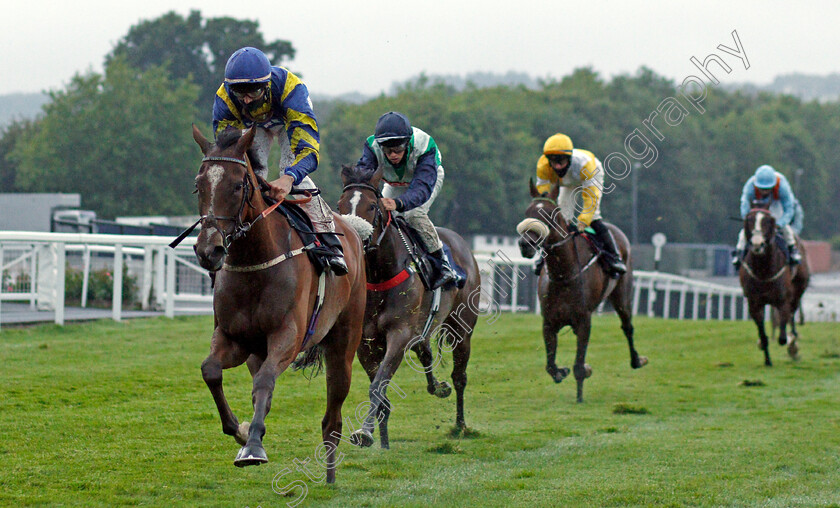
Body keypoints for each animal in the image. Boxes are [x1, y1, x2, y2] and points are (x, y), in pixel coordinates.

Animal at [191, 127, 368, 484]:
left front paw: (253, 447)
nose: (209, 250)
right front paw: (241, 431)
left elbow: (266, 380)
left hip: (343, 342)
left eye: (237, 184)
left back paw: (330, 475)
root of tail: (353, 231)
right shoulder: (234, 339)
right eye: (199, 184)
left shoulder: (288, 336)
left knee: (333, 416)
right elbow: (211, 370)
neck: (255, 262)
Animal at [334, 165, 480, 446]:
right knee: (425, 352)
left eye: (371, 206)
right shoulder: (366, 342)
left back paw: (460, 425)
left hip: (462, 329)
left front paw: (364, 432)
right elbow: (380, 390)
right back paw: (437, 388)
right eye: (340, 204)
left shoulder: (399, 334)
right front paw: (382, 441)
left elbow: (378, 385)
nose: (354, 239)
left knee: (460, 377)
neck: (379, 276)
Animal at [516, 181, 648, 402]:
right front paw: (562, 371)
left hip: (622, 295)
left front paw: (580, 393)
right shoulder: (549, 321)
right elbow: (550, 365)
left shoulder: (584, 320)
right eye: (527, 212)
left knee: (628, 327)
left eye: (549, 214)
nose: (525, 244)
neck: (563, 274)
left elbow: (578, 365)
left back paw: (637, 360)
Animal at [740, 206, 808, 366]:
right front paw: (767, 359)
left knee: (792, 313)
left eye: (767, 221)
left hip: (798, 289)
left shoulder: (783, 300)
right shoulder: (755, 303)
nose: (757, 244)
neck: (763, 270)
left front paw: (791, 344)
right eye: (749, 220)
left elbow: (783, 337)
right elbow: (763, 334)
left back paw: (793, 342)